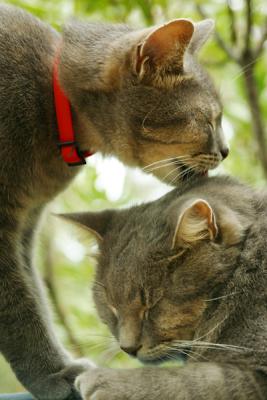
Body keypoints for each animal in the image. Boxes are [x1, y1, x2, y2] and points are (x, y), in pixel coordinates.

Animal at [0, 3, 228, 400]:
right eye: (208, 119)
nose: (226, 150)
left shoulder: (25, 226)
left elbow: (33, 297)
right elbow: (18, 309)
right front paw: (51, 375)